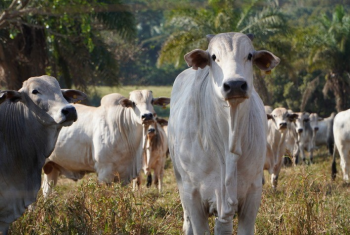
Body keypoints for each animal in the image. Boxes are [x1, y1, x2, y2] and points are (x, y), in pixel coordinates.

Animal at [41, 90, 170, 196]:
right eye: (133, 103)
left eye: (152, 101)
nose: (147, 116)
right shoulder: (104, 173)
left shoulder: (123, 175)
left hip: (52, 167)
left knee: (47, 191)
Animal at [168, 32, 280, 234]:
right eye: (213, 57)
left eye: (249, 55)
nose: (235, 84)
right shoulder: (192, 195)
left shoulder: (253, 192)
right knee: (187, 223)